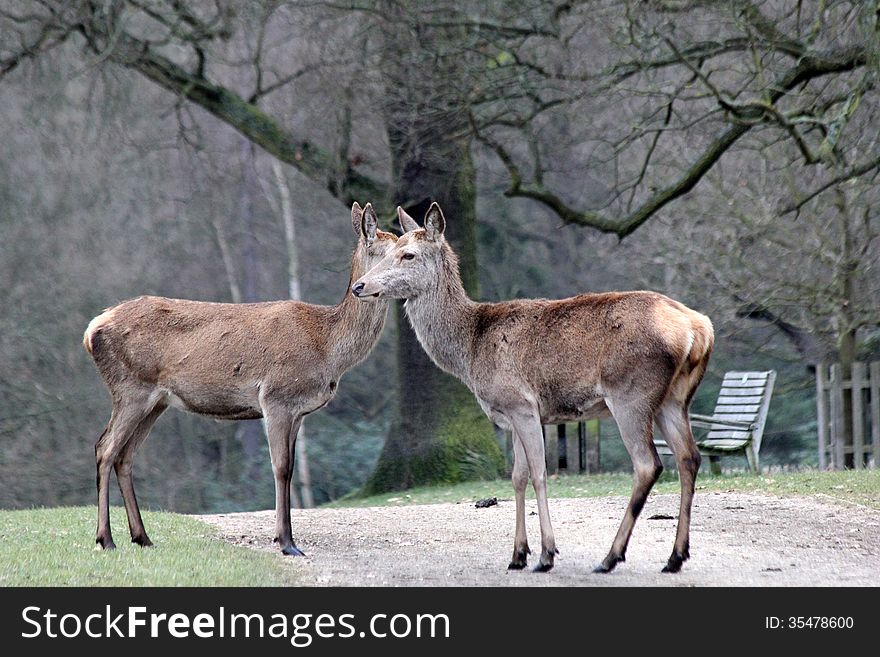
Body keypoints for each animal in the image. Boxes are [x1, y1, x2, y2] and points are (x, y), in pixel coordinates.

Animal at [84, 201, 398, 552]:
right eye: (393, 251)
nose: (363, 288)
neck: (327, 347)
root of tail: (91, 330)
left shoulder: (299, 411)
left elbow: (290, 469)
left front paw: (285, 536)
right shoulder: (276, 397)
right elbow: (281, 468)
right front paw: (286, 542)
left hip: (156, 401)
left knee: (125, 455)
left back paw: (142, 537)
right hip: (130, 387)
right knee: (105, 448)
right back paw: (106, 538)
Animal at [352, 202, 716, 572]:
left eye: (408, 254)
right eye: (386, 251)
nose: (360, 286)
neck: (470, 349)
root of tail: (699, 329)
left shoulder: (521, 404)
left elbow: (540, 474)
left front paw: (546, 554)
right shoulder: (512, 416)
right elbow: (517, 477)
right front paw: (517, 554)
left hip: (631, 393)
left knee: (647, 464)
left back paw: (610, 557)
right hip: (675, 399)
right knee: (689, 457)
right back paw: (675, 557)